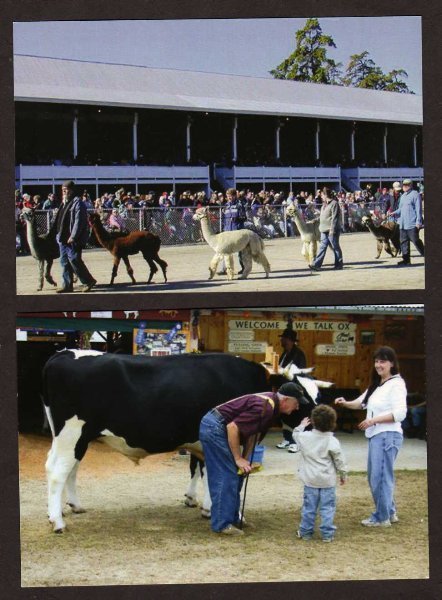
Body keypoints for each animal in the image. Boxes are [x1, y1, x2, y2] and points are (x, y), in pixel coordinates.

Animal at [42, 350, 332, 532]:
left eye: (318, 395)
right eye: (303, 398)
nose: (324, 421)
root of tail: (62, 354)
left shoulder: (199, 441)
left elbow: (201, 469)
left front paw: (201, 504)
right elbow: (227, 474)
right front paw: (228, 513)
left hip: (75, 437)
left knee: (65, 468)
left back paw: (71, 507)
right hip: (72, 433)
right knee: (58, 472)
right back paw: (57, 522)